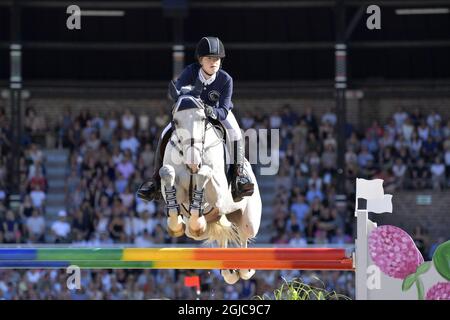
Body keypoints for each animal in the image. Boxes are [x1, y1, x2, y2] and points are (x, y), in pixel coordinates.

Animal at [160, 87, 262, 282]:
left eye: (202, 118)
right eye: (175, 121)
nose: (193, 164)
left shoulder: (219, 195)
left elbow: (206, 181)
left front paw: (202, 174)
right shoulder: (181, 196)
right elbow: (173, 196)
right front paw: (177, 224)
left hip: (248, 220)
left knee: (244, 235)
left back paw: (244, 269)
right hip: (209, 224)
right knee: (202, 231)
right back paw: (229, 270)